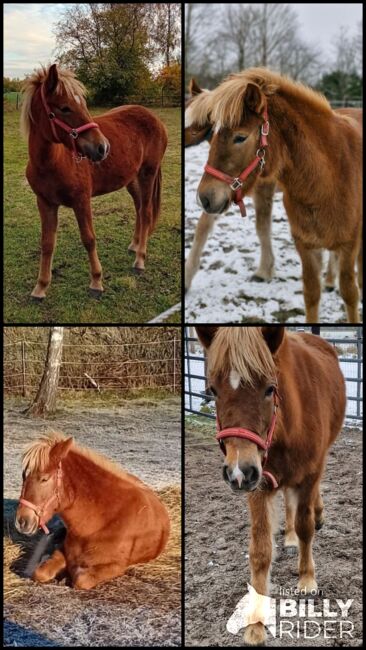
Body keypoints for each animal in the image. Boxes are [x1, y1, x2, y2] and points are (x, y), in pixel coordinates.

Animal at [14, 430, 169, 588]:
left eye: (44, 479)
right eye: (24, 476)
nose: (21, 521)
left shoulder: (116, 566)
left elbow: (81, 579)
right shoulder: (63, 550)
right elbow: (40, 572)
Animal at [20, 63, 167, 298]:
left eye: (83, 104)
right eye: (64, 108)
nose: (102, 147)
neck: (53, 163)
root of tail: (154, 118)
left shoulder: (82, 201)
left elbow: (88, 239)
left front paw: (96, 282)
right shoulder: (45, 203)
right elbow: (47, 243)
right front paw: (41, 286)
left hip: (148, 174)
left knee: (146, 212)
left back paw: (140, 260)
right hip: (132, 180)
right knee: (139, 208)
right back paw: (134, 245)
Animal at [184, 69, 362, 320]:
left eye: (240, 137)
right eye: (214, 131)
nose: (204, 197)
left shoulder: (261, 190)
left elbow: (261, 228)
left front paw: (264, 270)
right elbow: (204, 226)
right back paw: (329, 278)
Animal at [194, 324, 346, 644]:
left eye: (269, 389)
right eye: (214, 390)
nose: (238, 472)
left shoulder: (309, 473)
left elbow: (305, 526)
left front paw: (307, 579)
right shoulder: (259, 483)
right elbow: (261, 550)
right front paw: (255, 623)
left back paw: (317, 516)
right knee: (288, 500)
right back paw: (288, 537)